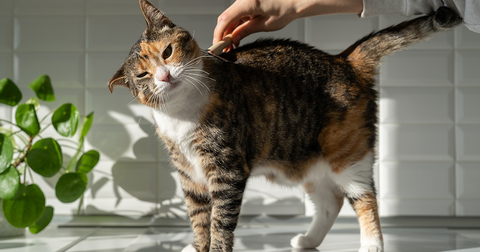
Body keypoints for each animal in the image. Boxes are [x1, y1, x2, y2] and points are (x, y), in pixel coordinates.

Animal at [108, 0, 462, 251]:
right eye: (142, 75)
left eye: (167, 52)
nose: (164, 76)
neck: (181, 115)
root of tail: (344, 60)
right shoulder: (189, 174)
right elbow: (198, 218)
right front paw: (197, 247)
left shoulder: (226, 169)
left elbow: (220, 219)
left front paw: (217, 248)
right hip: (307, 161)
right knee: (330, 202)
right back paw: (308, 241)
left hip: (347, 154)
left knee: (365, 197)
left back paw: (371, 244)